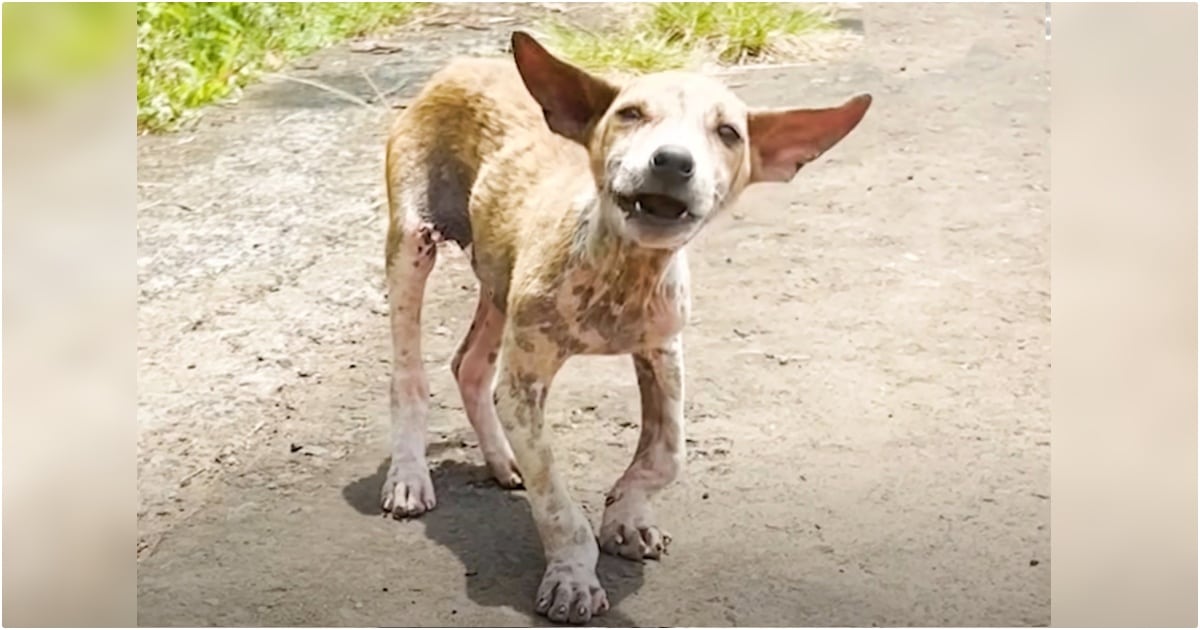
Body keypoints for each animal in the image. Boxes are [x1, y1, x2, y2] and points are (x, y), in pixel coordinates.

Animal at [379, 33, 868, 624]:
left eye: (728, 132)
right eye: (631, 113)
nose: (673, 162)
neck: (619, 271)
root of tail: (461, 65)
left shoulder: (663, 351)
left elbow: (667, 453)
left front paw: (627, 517)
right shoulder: (524, 386)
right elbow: (556, 502)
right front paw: (572, 576)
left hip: (498, 279)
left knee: (469, 365)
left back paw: (499, 460)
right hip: (413, 245)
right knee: (410, 378)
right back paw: (409, 476)